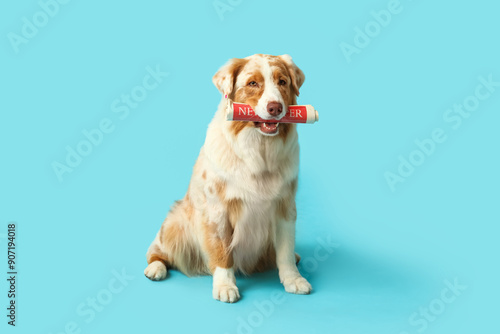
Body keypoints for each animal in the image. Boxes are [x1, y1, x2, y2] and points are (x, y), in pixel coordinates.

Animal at [143, 52, 310, 302]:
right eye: (252, 83)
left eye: (282, 82)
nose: (275, 108)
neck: (259, 152)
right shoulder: (218, 210)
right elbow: (222, 253)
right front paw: (224, 286)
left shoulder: (285, 206)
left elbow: (286, 251)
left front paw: (293, 279)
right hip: (174, 224)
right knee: (157, 251)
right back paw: (155, 268)